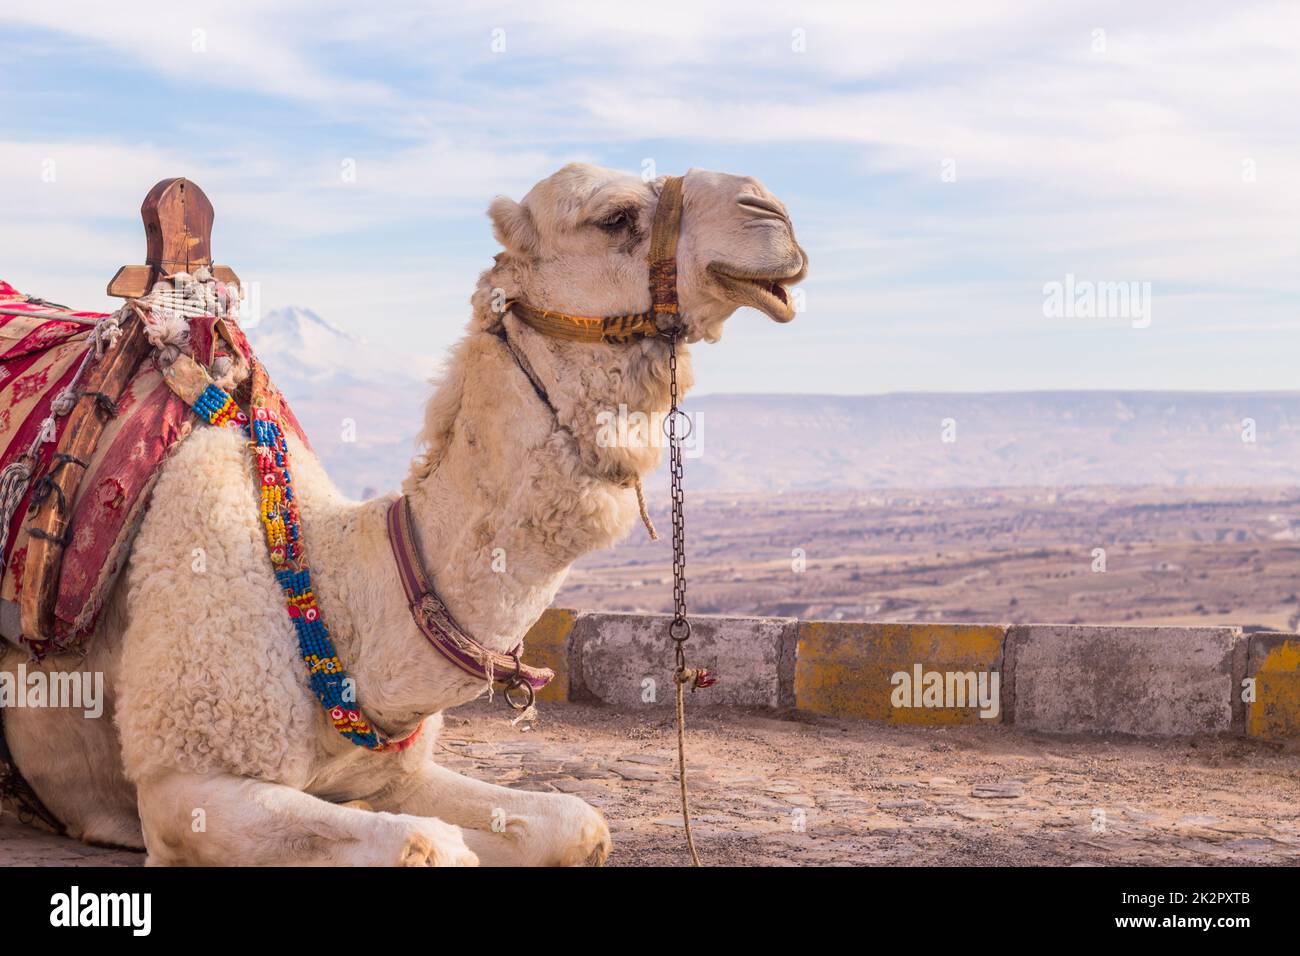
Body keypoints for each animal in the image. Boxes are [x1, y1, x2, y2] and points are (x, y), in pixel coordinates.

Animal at [0, 163, 807, 865]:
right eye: (614, 218)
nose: (772, 213)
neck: (337, 600)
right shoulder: (184, 787)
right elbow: (428, 847)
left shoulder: (400, 769)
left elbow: (577, 825)